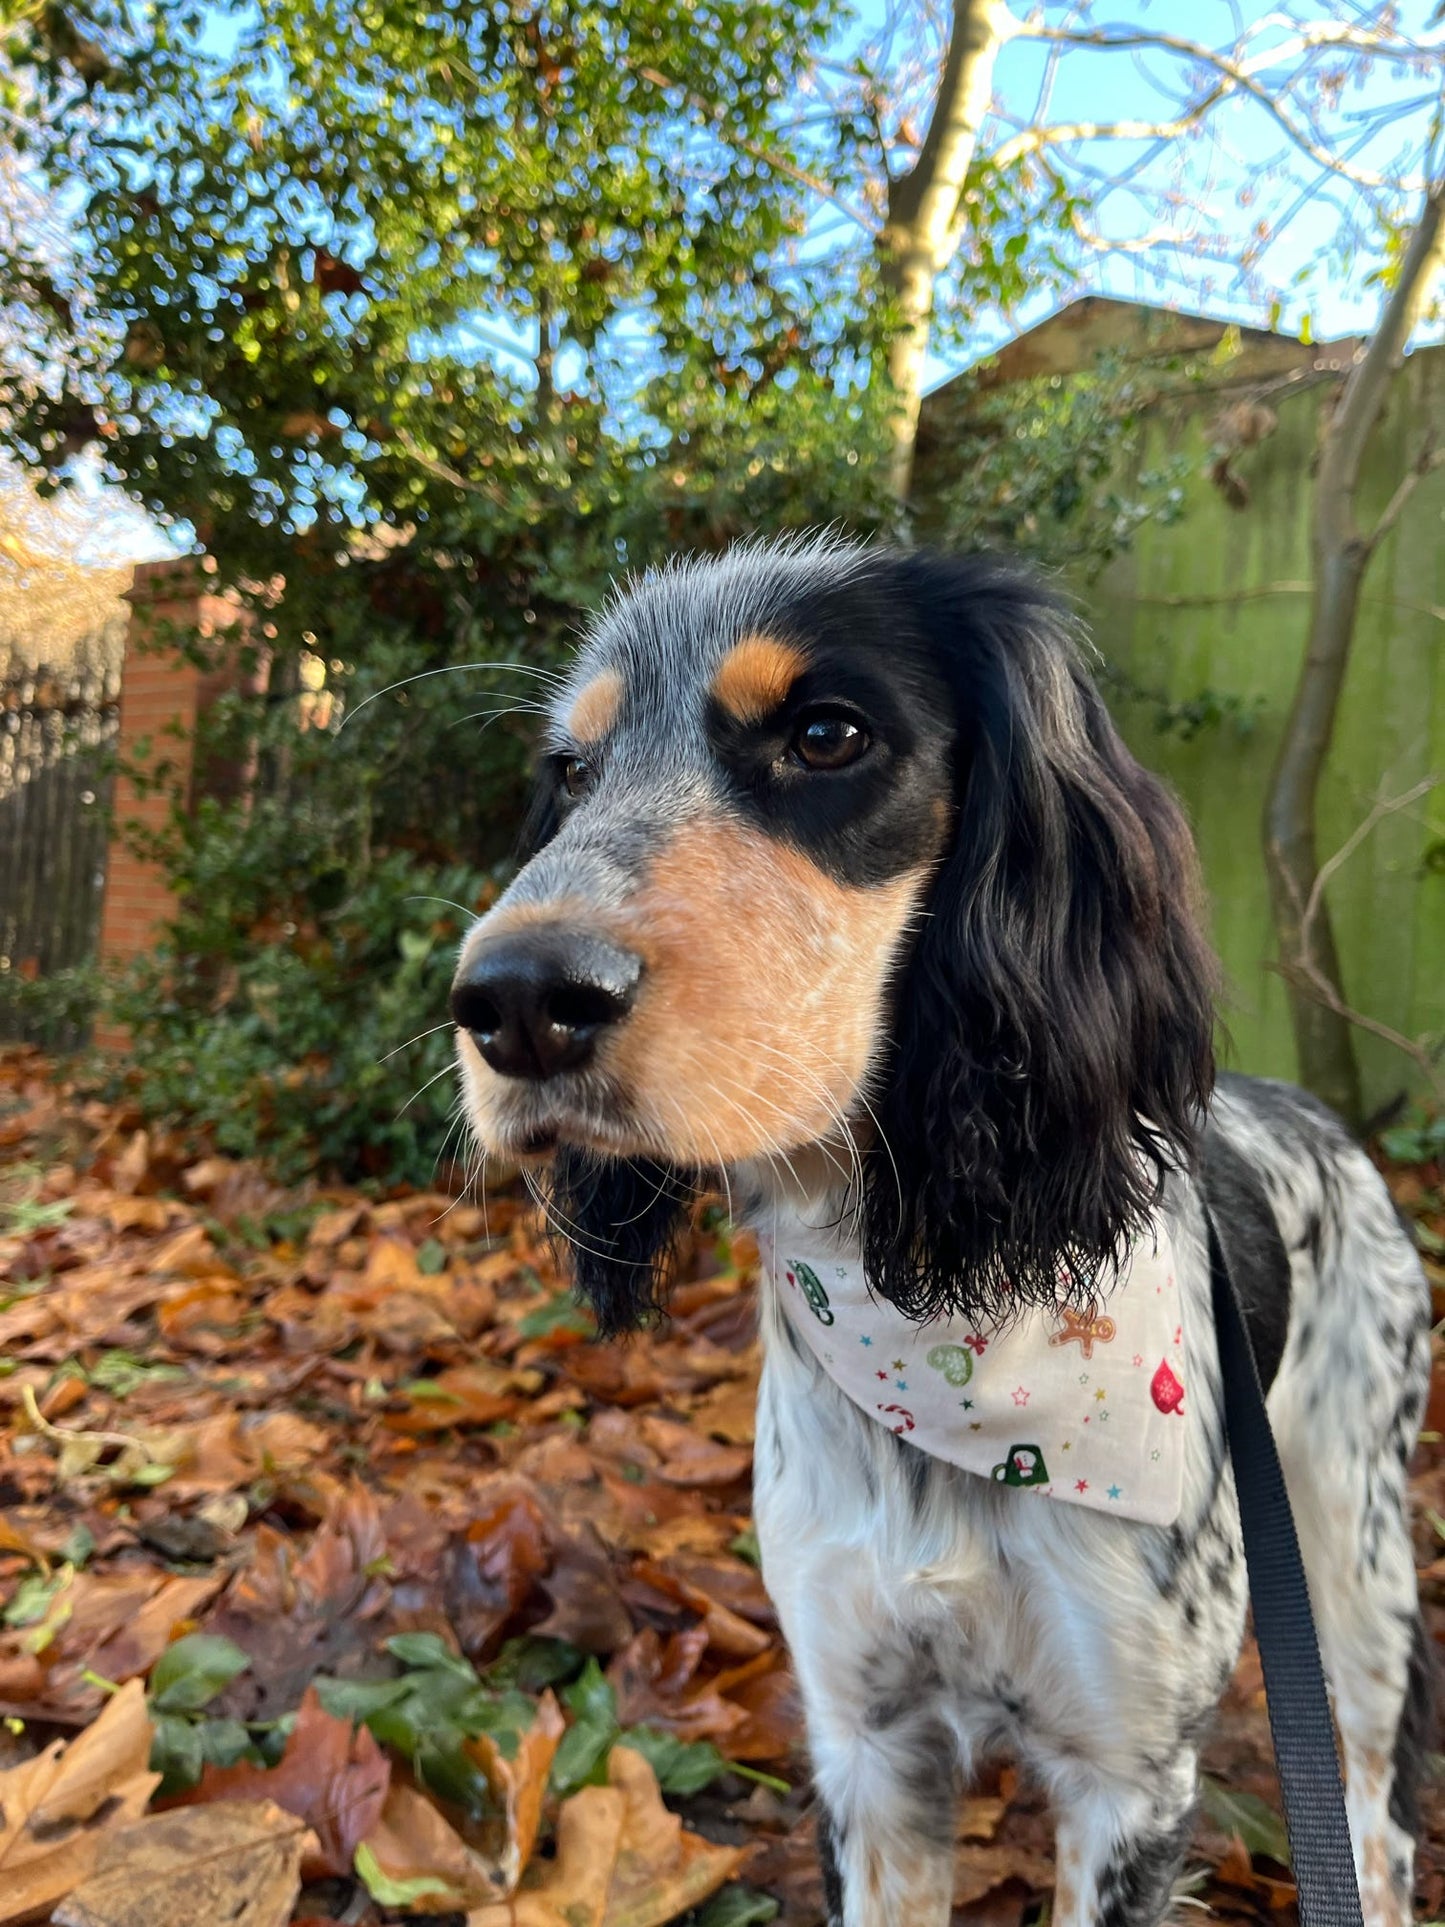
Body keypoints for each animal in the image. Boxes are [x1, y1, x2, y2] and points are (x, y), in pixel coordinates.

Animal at [452, 539, 1441, 1927]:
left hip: (1355, 1567)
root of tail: (1319, 1114)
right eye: (571, 772)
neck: (936, 1313)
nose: (515, 1001)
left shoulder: (1128, 1778)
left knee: (1378, 1817)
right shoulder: (865, 1745)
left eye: (826, 733)